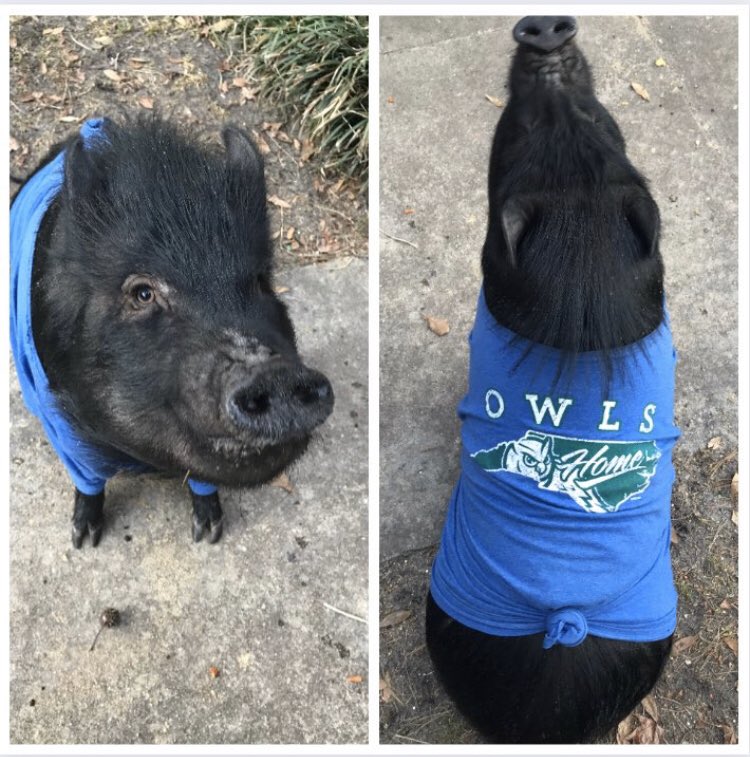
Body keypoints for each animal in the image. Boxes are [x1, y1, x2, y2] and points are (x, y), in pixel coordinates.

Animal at [10, 115, 333, 548]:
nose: (275, 372)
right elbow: (88, 481)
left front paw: (208, 534)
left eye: (260, 283)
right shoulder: (59, 421)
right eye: (142, 293)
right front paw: (83, 540)